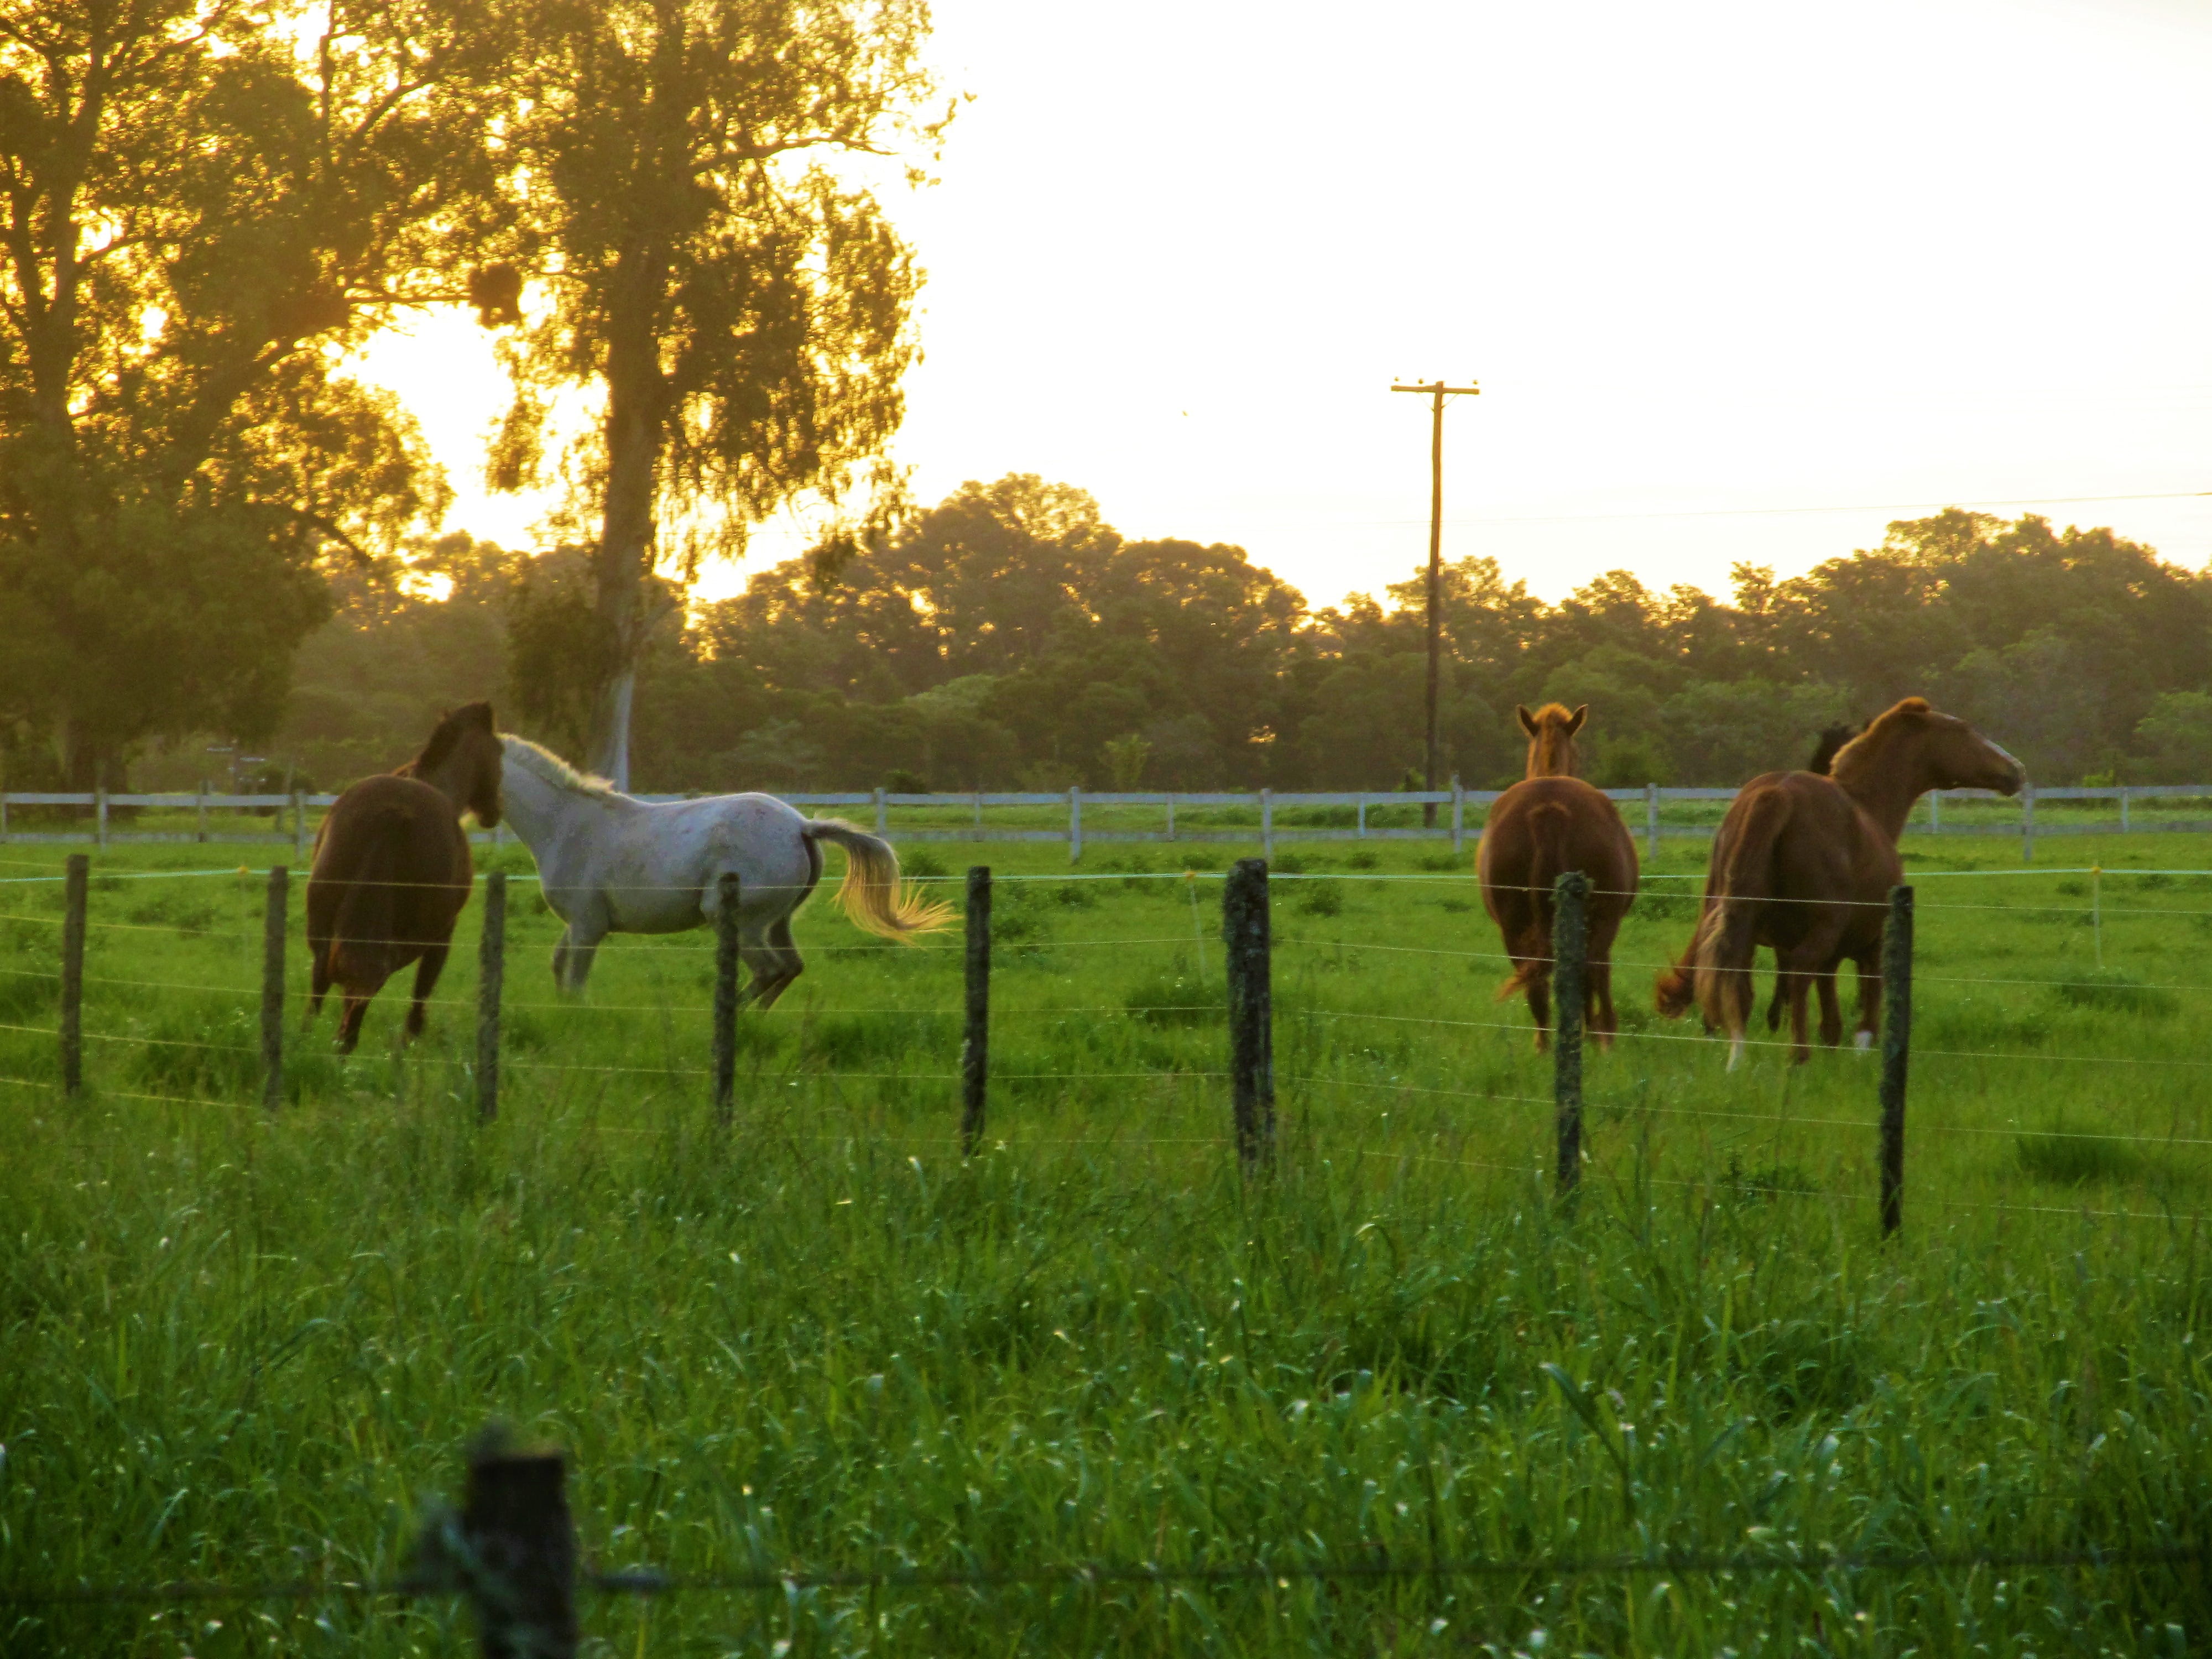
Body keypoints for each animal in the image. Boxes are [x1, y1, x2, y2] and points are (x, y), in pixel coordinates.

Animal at [307, 703, 505, 1053]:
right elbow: (420, 998)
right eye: (499, 751)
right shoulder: (442, 937)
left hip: (325, 939)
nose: (494, 812)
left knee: (319, 995)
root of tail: (391, 812)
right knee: (355, 1009)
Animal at [496, 734, 950, 1002]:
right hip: (777, 922)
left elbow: (574, 982)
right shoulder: (578, 924)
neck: (568, 823)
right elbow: (560, 969)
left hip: (734, 920)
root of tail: (801, 826)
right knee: (790, 969)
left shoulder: (588, 926)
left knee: (770, 971)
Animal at [1475, 703, 1640, 1050]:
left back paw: (1544, 1045)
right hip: (1600, 922)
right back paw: (1597, 1036)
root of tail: (1548, 808)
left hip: (1515, 928)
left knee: (1537, 986)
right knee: (1590, 973)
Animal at [1655, 696, 2023, 1066]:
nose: (2016, 770)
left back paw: (1738, 1061)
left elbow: (1830, 1018)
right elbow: (1868, 1002)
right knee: (1797, 976)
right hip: (1820, 931)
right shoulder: (1873, 942)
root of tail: (1776, 795)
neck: (1868, 806)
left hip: (1735, 923)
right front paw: (1862, 1049)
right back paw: (1797, 1057)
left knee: (1737, 983)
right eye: (1964, 731)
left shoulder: (1829, 957)